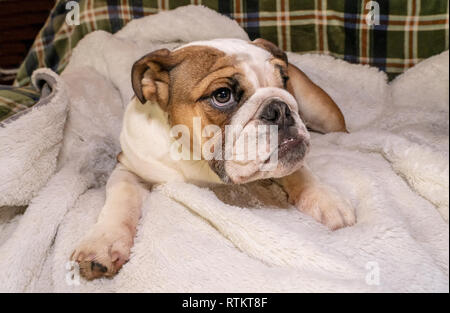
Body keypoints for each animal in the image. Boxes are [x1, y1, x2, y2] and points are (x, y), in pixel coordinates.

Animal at [71, 37, 356, 280]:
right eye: (222, 95)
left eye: (284, 80)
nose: (280, 108)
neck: (196, 158)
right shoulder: (128, 165)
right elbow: (120, 197)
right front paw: (103, 243)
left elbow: (299, 169)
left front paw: (323, 198)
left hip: (324, 113)